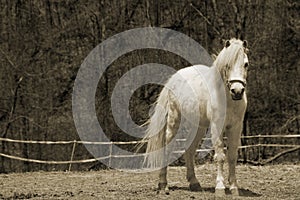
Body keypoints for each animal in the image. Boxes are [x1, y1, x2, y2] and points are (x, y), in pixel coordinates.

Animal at [141, 38, 248, 196]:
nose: (237, 91)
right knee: (168, 148)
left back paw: (194, 183)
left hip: (198, 127)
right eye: (227, 65)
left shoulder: (236, 127)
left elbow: (232, 156)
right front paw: (220, 188)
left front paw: (234, 188)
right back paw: (163, 185)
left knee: (189, 150)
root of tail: (174, 77)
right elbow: (220, 156)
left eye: (246, 64)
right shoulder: (217, 127)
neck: (227, 98)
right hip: (174, 121)